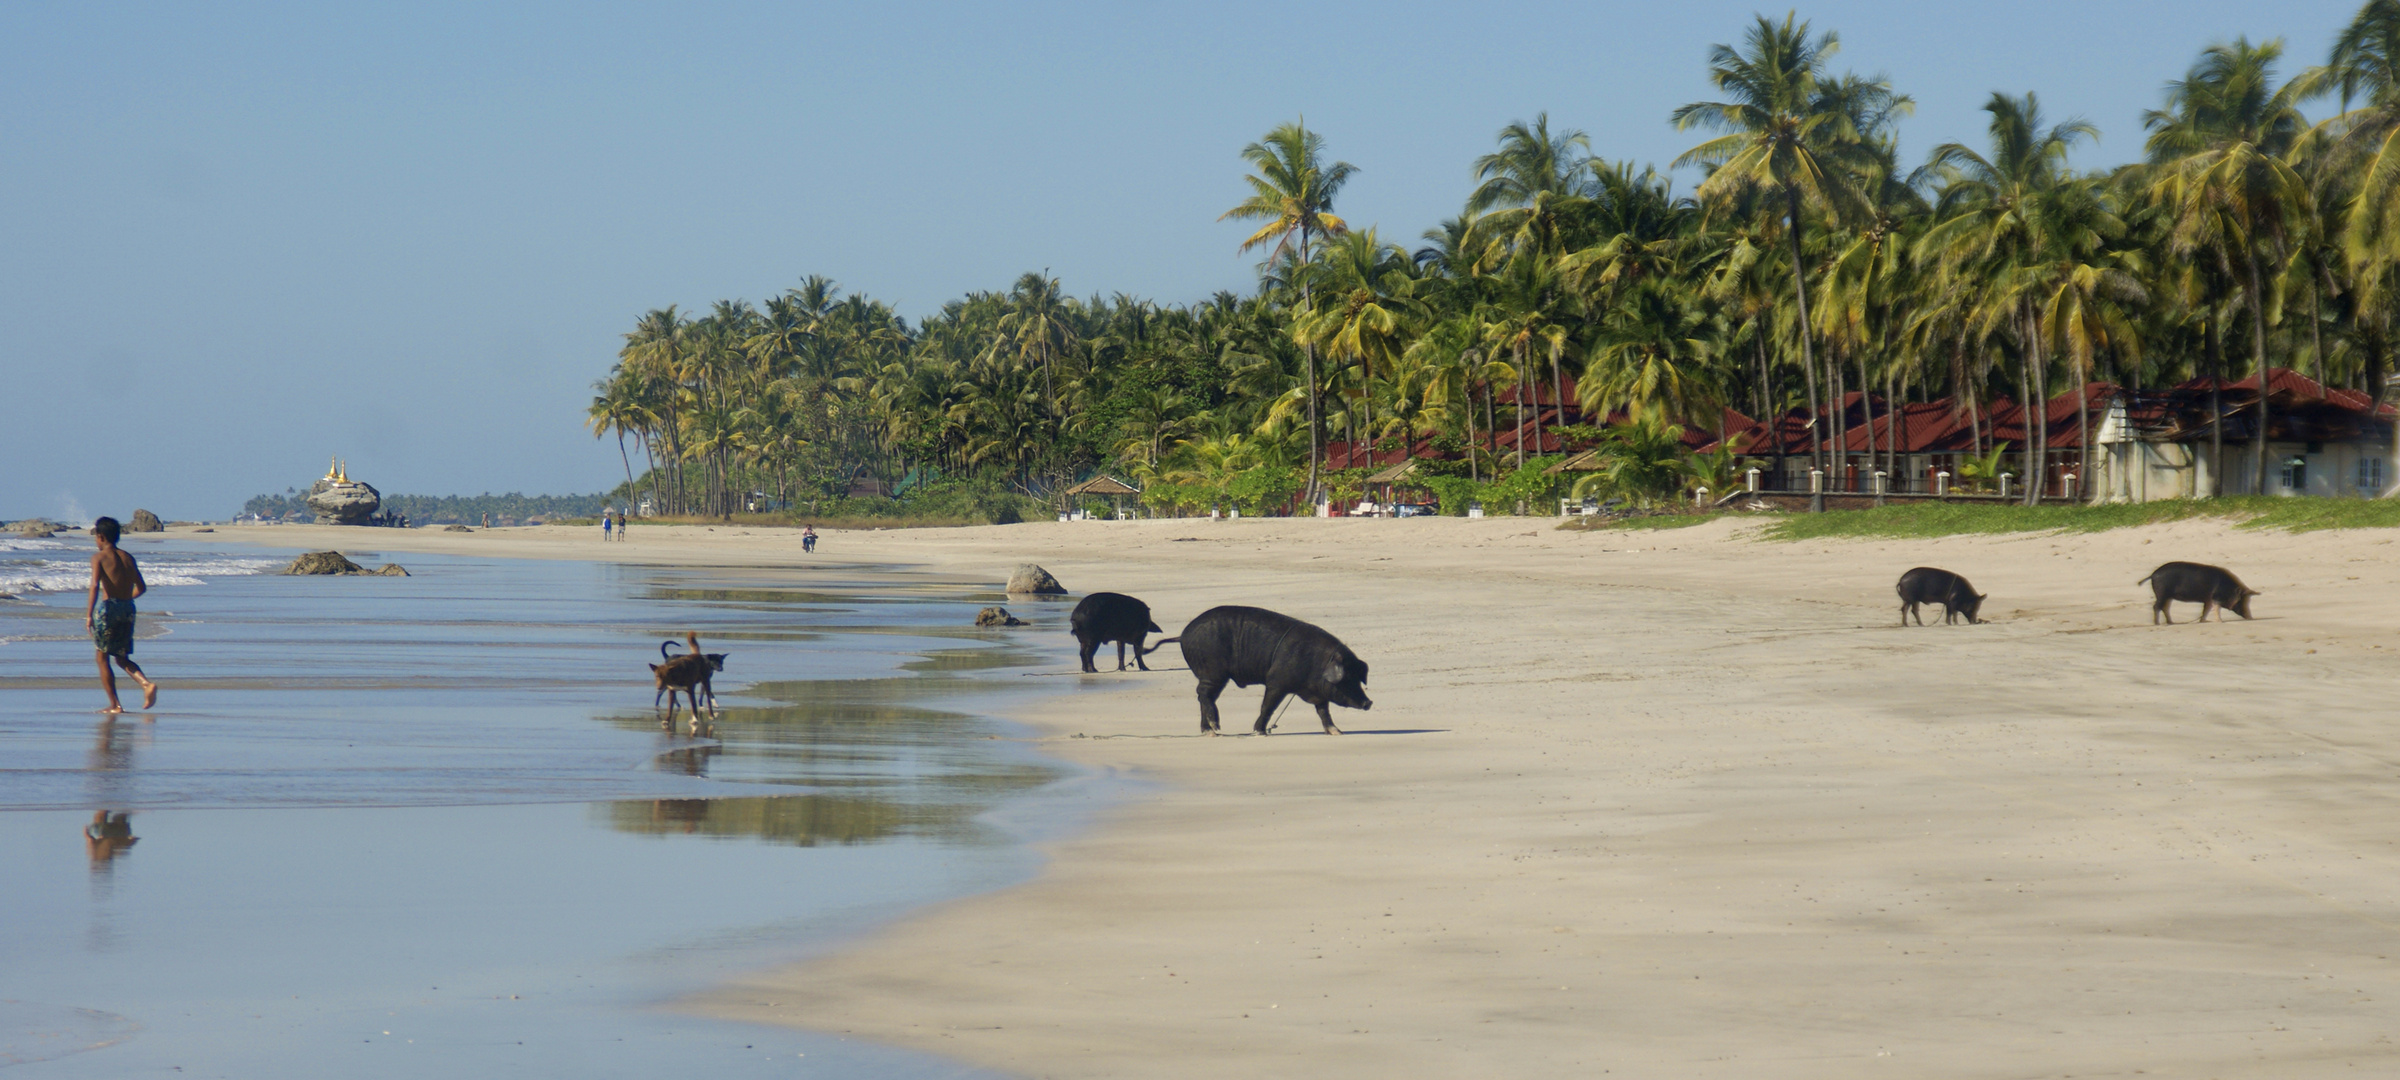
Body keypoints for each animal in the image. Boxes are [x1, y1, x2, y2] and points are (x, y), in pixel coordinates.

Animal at [1176, 602, 1382, 739]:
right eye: (1347, 678)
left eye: (1358, 678)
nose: (1369, 702)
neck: (1318, 665)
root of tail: (1183, 634)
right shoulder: (1276, 682)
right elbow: (1268, 706)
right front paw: (1259, 732)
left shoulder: (1319, 694)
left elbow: (1324, 711)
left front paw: (1337, 732)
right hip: (1213, 671)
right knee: (1203, 693)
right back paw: (1215, 728)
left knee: (1206, 697)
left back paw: (1211, 732)